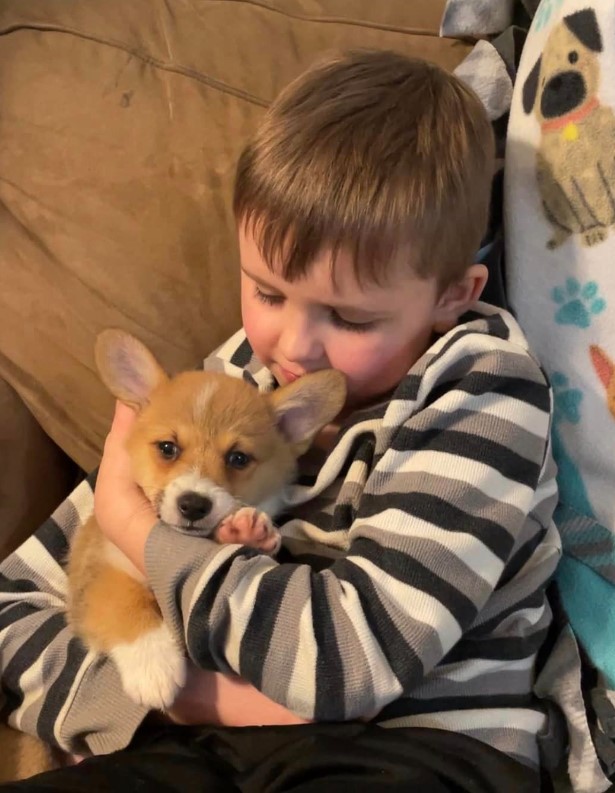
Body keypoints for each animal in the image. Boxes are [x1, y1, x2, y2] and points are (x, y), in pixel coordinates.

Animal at [67, 328, 346, 712]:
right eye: (167, 448)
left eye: (238, 458)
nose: (193, 505)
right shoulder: (103, 567)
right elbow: (122, 602)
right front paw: (153, 668)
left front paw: (245, 532)